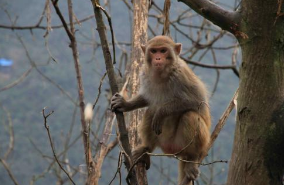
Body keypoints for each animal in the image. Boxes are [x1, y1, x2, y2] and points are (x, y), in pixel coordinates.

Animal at [111, 35, 211, 184]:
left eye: (163, 51)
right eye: (154, 51)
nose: (158, 58)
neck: (163, 74)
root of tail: (172, 151)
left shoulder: (182, 75)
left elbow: (196, 101)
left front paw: (162, 112)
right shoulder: (145, 74)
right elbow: (147, 98)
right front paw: (125, 104)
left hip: (185, 144)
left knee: (190, 115)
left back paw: (192, 159)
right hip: (163, 141)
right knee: (151, 110)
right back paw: (146, 149)